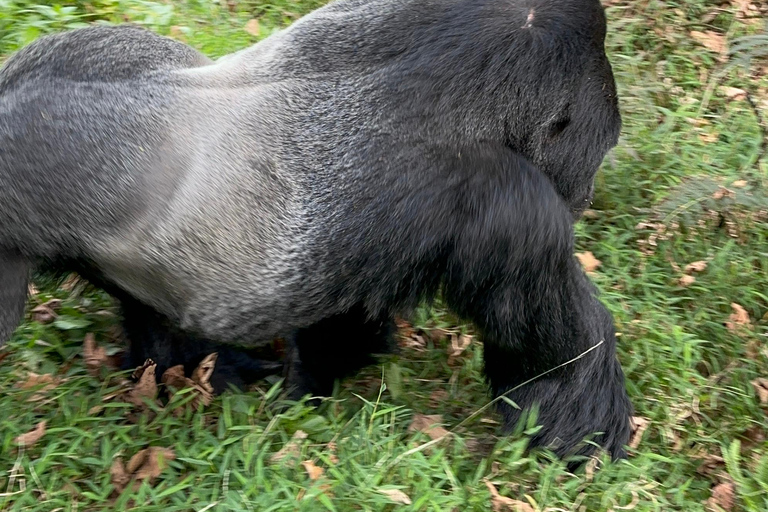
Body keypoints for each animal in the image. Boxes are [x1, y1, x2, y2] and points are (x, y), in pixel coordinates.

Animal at [0, 0, 632, 460]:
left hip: (86, 52)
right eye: (599, 145)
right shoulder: (508, 201)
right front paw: (582, 428)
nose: (585, 196)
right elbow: (551, 351)